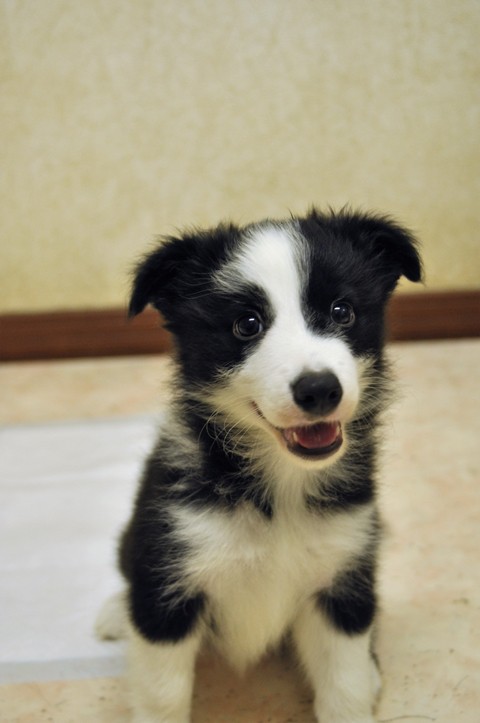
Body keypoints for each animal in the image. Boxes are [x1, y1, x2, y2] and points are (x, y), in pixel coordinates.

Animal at [96, 209, 420, 723]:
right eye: (246, 325)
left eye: (342, 311)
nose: (319, 389)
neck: (280, 486)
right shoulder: (170, 571)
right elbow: (162, 692)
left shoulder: (343, 574)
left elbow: (344, 684)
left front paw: (357, 686)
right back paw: (115, 612)